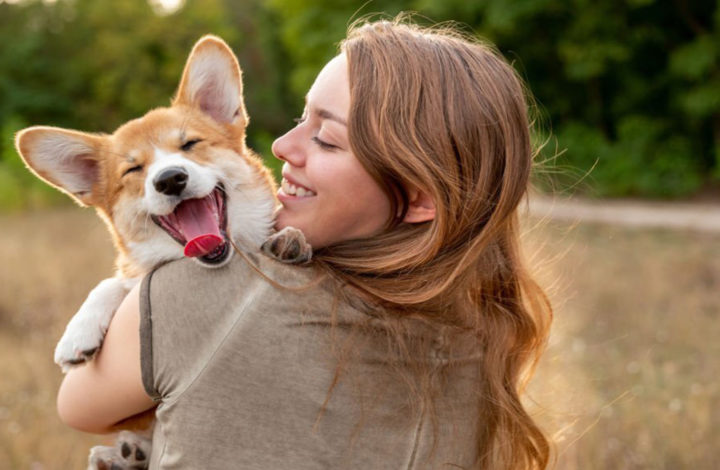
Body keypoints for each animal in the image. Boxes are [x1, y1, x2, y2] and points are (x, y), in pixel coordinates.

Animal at [14, 35, 306, 468]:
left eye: (189, 144)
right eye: (133, 170)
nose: (170, 179)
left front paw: (291, 240)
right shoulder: (136, 275)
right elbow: (112, 283)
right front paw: (77, 333)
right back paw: (122, 454)